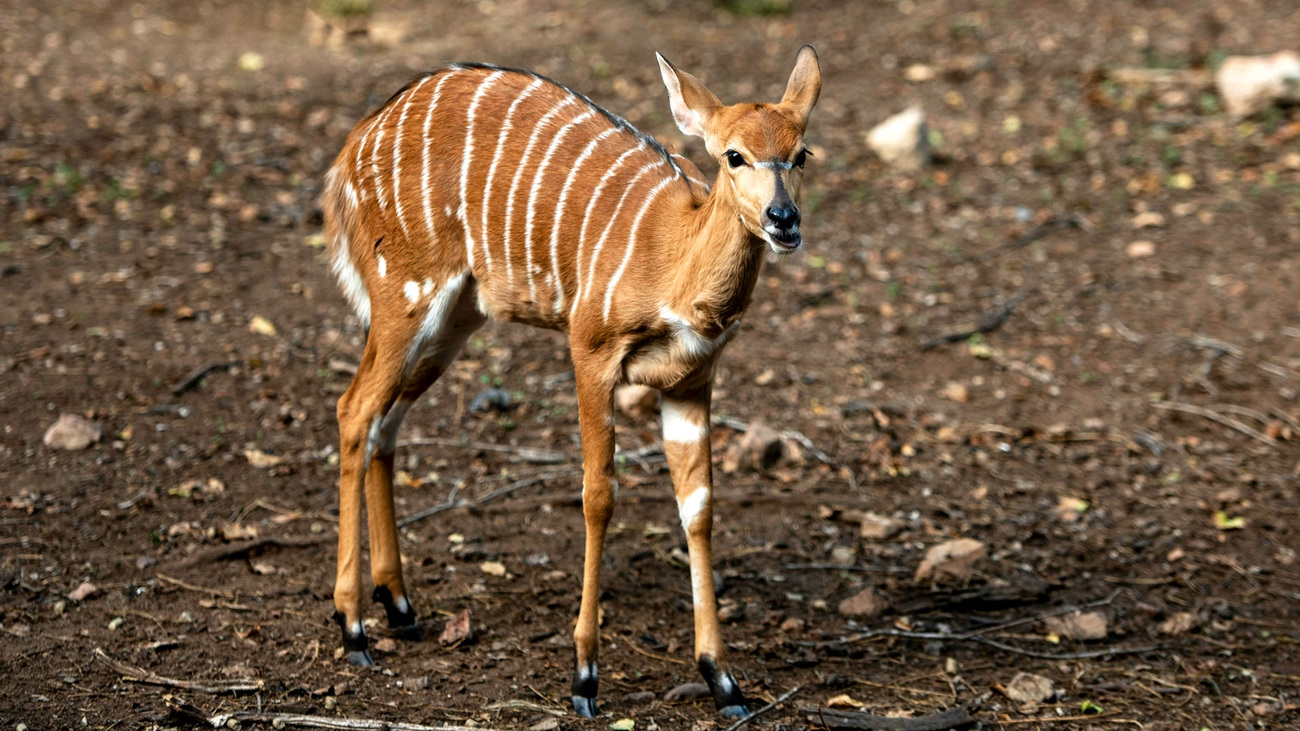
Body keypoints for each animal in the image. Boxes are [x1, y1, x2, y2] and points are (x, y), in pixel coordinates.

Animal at [319, 46, 816, 717]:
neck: (673, 262)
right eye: (733, 155)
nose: (783, 219)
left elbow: (699, 508)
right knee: (354, 409)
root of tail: (356, 142)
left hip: (453, 320)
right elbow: (598, 496)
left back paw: (399, 606)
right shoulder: (590, 352)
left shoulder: (691, 381)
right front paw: (584, 676)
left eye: (801, 153)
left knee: (385, 421)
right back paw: (353, 628)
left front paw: (723, 680)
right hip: (405, 292)